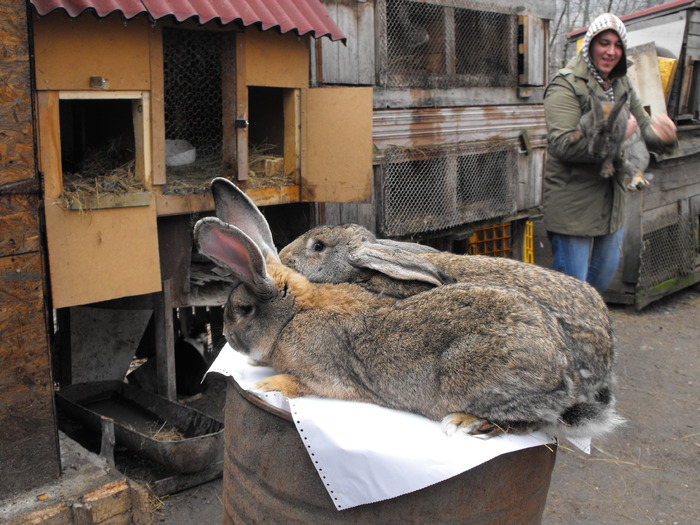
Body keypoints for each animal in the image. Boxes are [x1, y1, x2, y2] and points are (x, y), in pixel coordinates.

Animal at [194, 179, 620, 438]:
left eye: (243, 310)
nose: (227, 337)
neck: (295, 312)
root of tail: (568, 381)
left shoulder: (326, 378)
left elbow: (299, 383)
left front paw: (266, 384)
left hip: (474, 376)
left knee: (530, 422)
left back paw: (466, 423)